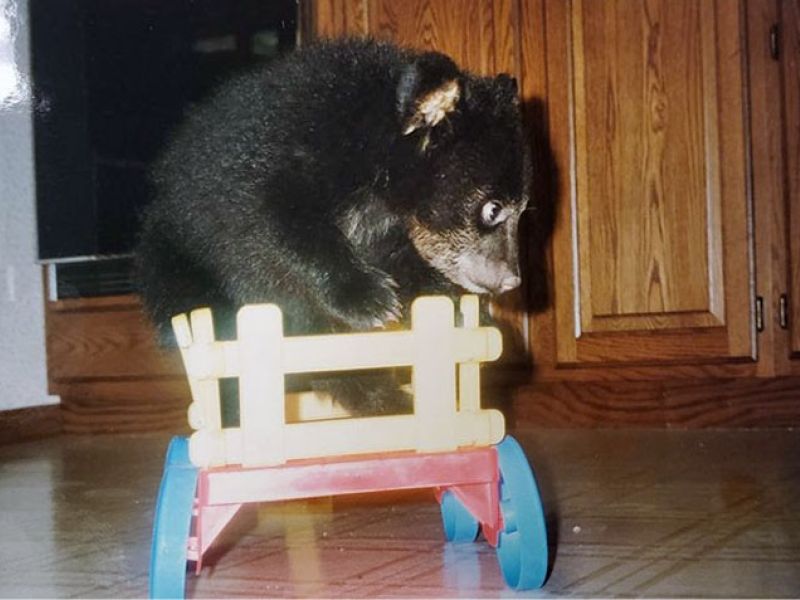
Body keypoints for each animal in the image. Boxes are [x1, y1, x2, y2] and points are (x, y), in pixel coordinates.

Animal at [136, 37, 531, 416]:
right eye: (492, 209)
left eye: (523, 209)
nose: (512, 281)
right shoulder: (272, 168)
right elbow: (281, 229)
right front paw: (369, 298)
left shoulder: (388, 230)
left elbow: (405, 263)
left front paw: (467, 308)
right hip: (183, 273)